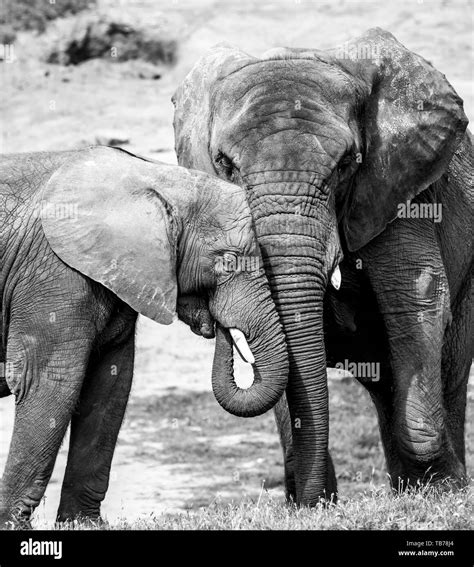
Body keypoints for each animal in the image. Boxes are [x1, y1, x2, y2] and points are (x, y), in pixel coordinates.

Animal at [0, 146, 288, 528]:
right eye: (228, 261)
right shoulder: (54, 276)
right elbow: (50, 383)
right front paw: (12, 525)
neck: (155, 179)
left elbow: (111, 382)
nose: (218, 323)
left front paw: (85, 524)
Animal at [173, 26, 474, 506]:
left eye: (346, 165)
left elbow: (418, 296)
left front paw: (443, 489)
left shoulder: (395, 188)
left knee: (449, 368)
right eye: (225, 165)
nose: (211, 323)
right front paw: (308, 503)